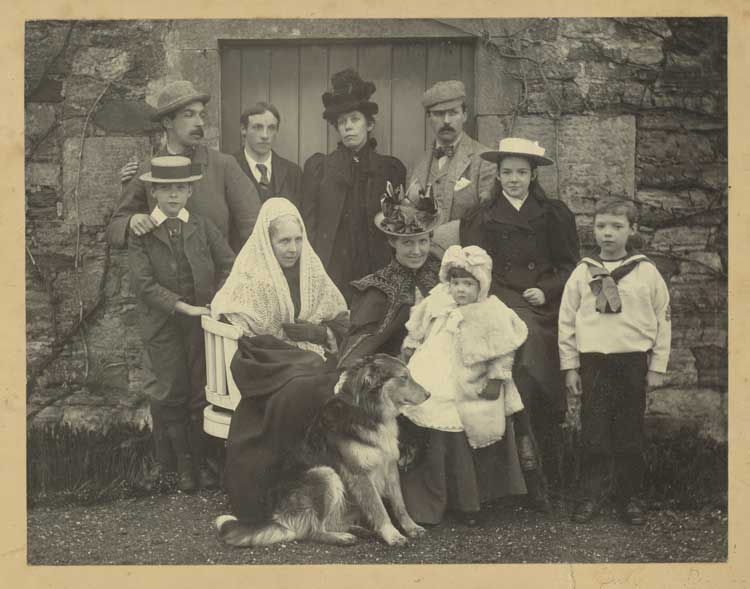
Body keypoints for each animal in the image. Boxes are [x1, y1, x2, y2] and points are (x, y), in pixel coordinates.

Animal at [214, 352, 432, 544]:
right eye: (404, 377)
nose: (429, 394)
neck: (368, 411)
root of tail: (279, 518)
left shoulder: (390, 466)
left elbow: (399, 504)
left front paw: (411, 527)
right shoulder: (359, 474)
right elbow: (379, 508)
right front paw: (392, 535)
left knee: (330, 522)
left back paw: (357, 530)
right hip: (324, 473)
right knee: (313, 531)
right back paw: (341, 538)